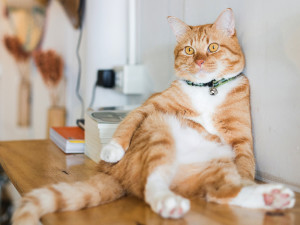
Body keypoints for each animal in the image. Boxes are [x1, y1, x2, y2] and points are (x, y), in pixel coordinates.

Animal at [12, 7, 294, 224]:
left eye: (212, 47)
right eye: (189, 50)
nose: (200, 62)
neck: (208, 90)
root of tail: (112, 175)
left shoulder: (240, 138)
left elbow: (245, 168)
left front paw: (251, 183)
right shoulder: (149, 108)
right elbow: (126, 124)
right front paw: (112, 149)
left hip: (216, 164)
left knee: (221, 191)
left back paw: (271, 196)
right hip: (159, 130)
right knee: (153, 183)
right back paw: (168, 202)